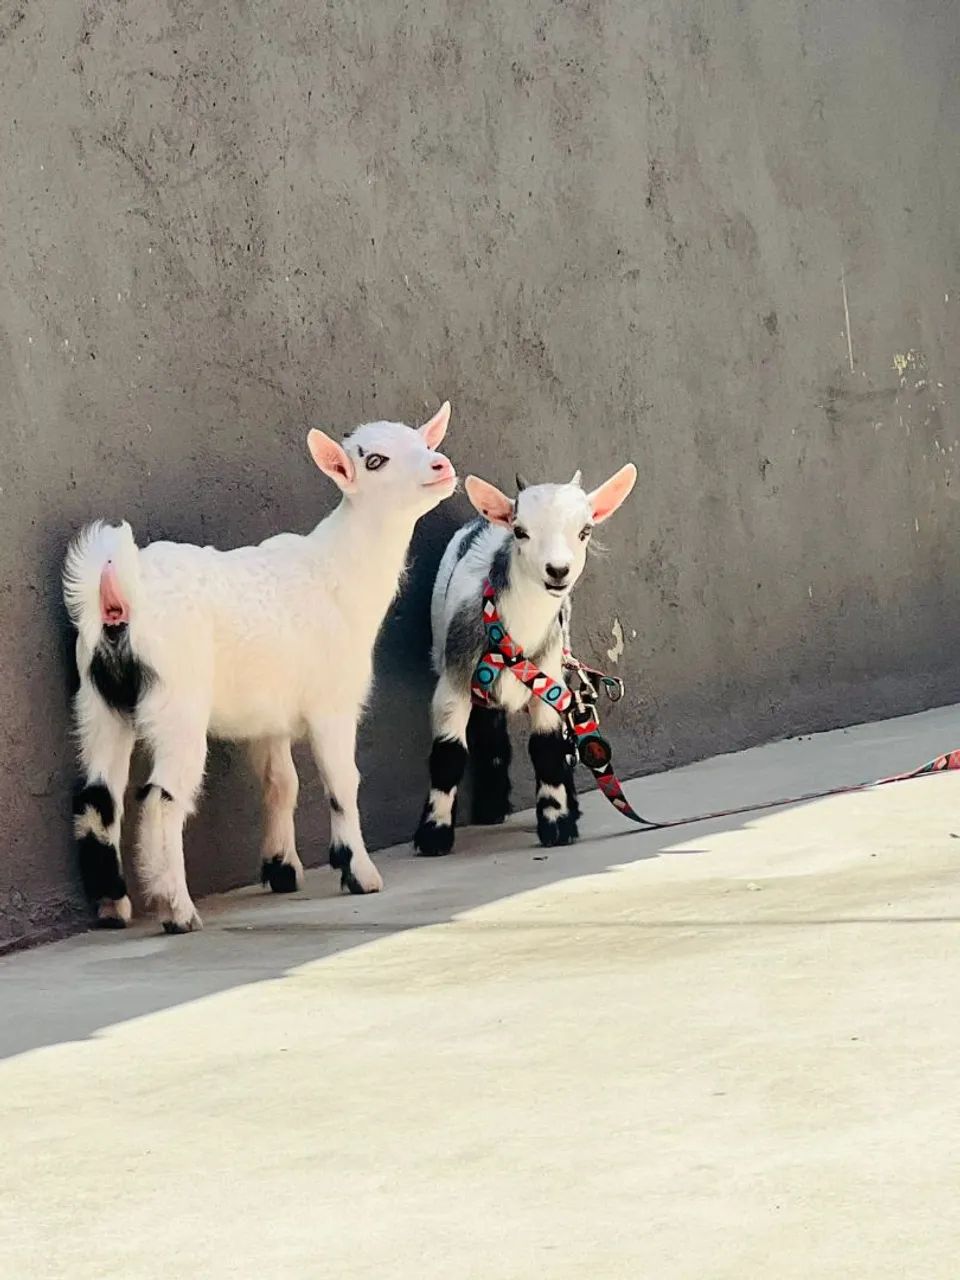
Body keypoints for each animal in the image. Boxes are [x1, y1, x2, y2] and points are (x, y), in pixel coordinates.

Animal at [64, 403, 456, 933]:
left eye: (425, 443)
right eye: (374, 460)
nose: (441, 466)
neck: (338, 570)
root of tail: (115, 598)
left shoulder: (268, 719)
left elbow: (280, 783)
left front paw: (282, 868)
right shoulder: (332, 704)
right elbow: (342, 781)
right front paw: (359, 872)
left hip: (100, 702)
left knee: (97, 797)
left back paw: (112, 906)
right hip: (176, 702)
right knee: (161, 798)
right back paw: (177, 910)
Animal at [413, 463, 636, 856]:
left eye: (585, 531)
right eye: (520, 531)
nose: (557, 570)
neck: (510, 638)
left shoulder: (547, 681)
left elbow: (547, 747)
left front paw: (557, 823)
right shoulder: (454, 681)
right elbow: (448, 753)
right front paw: (434, 833)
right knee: (489, 726)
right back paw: (490, 807)